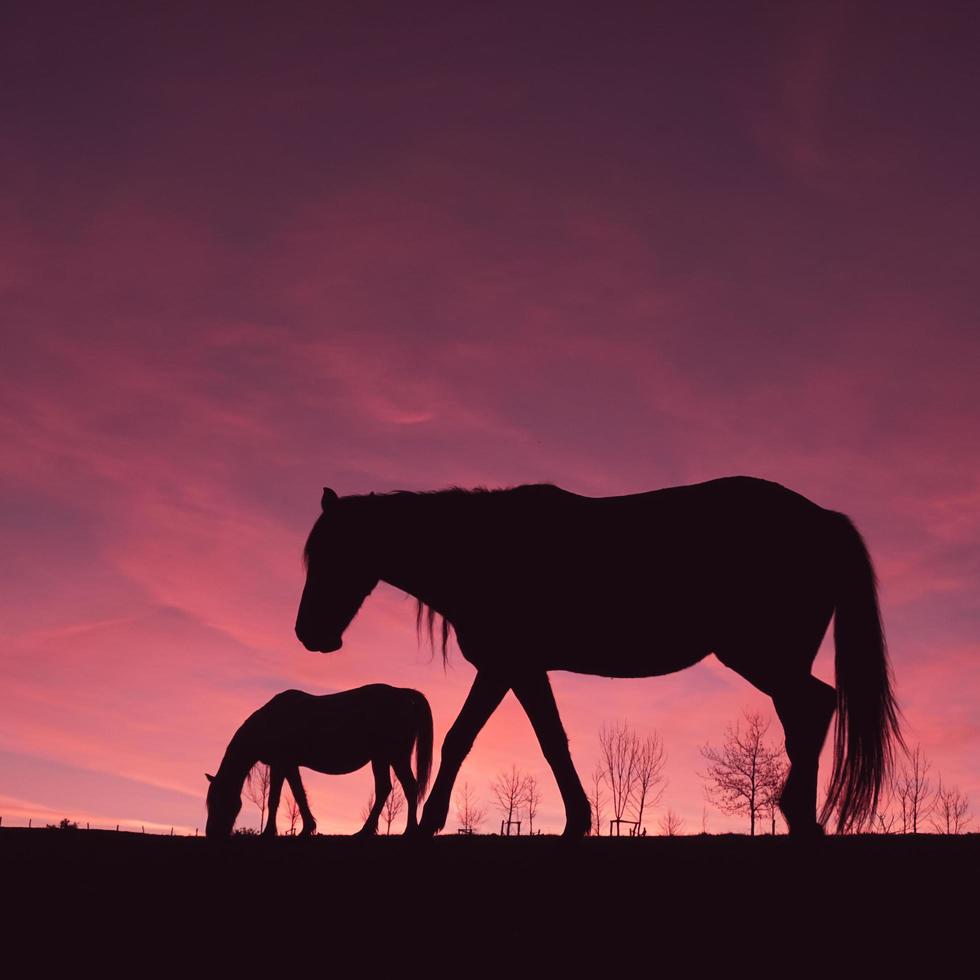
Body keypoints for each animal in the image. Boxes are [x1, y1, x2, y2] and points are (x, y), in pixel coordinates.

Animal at [206, 684, 432, 840]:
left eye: (218, 800)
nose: (211, 833)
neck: (271, 721)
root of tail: (402, 693)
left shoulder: (280, 764)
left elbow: (274, 799)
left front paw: (269, 832)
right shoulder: (289, 765)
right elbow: (298, 794)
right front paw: (307, 828)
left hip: (394, 756)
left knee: (406, 787)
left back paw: (406, 831)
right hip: (382, 757)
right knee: (389, 788)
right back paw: (369, 831)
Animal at [292, 478, 904, 840]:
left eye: (332, 553)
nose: (307, 635)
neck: (481, 549)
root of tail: (824, 518)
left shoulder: (507, 664)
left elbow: (470, 737)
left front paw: (428, 825)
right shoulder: (519, 668)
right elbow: (544, 739)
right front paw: (577, 820)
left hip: (761, 656)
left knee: (813, 706)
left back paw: (798, 812)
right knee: (806, 713)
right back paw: (802, 816)